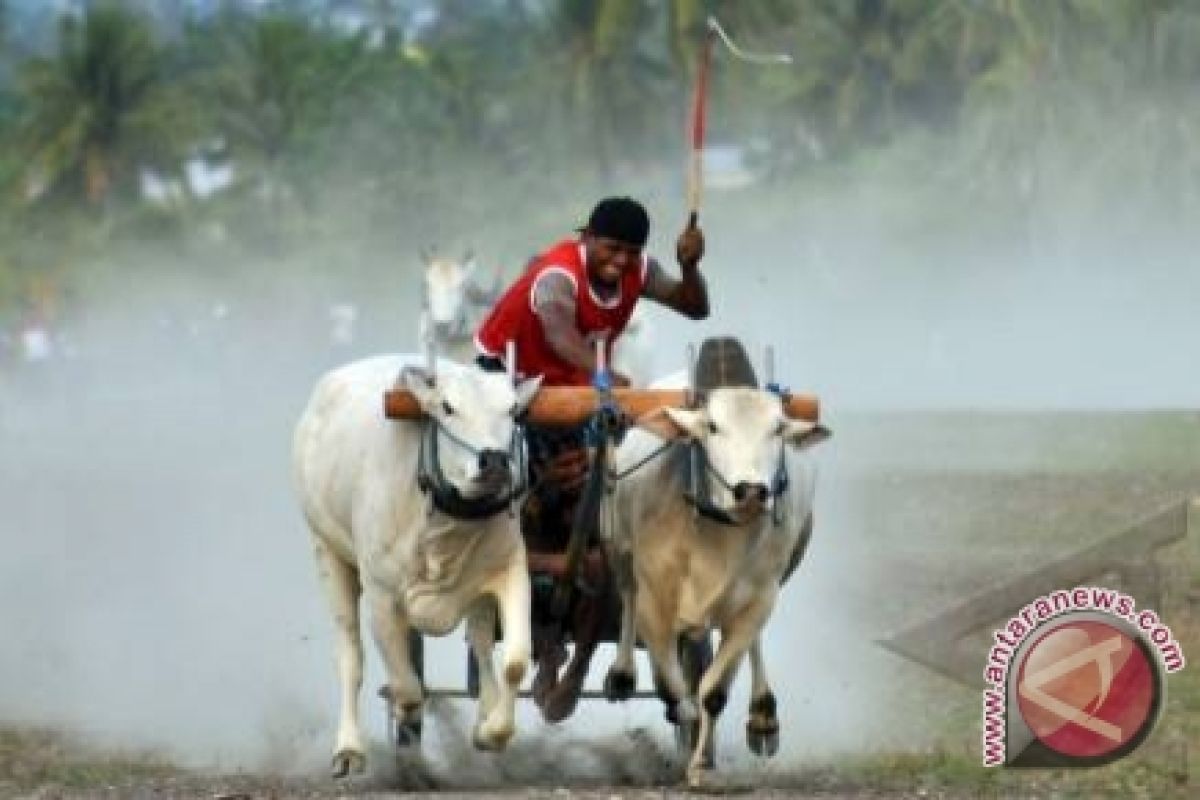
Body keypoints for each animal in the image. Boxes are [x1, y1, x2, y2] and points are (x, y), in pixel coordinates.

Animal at [290, 355, 540, 777]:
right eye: (447, 408)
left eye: (511, 410)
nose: (494, 461)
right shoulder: (381, 595)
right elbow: (406, 684)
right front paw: (406, 718)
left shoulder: (509, 571)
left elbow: (515, 663)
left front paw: (493, 732)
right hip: (326, 551)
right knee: (350, 656)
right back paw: (349, 749)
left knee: (482, 645)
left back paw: (484, 717)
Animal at [604, 369, 830, 786]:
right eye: (712, 426)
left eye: (778, 428)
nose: (752, 491)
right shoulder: (653, 601)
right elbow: (672, 687)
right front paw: (682, 713)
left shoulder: (757, 602)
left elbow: (713, 691)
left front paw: (700, 766)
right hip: (619, 549)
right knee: (626, 596)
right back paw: (622, 674)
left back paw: (763, 717)